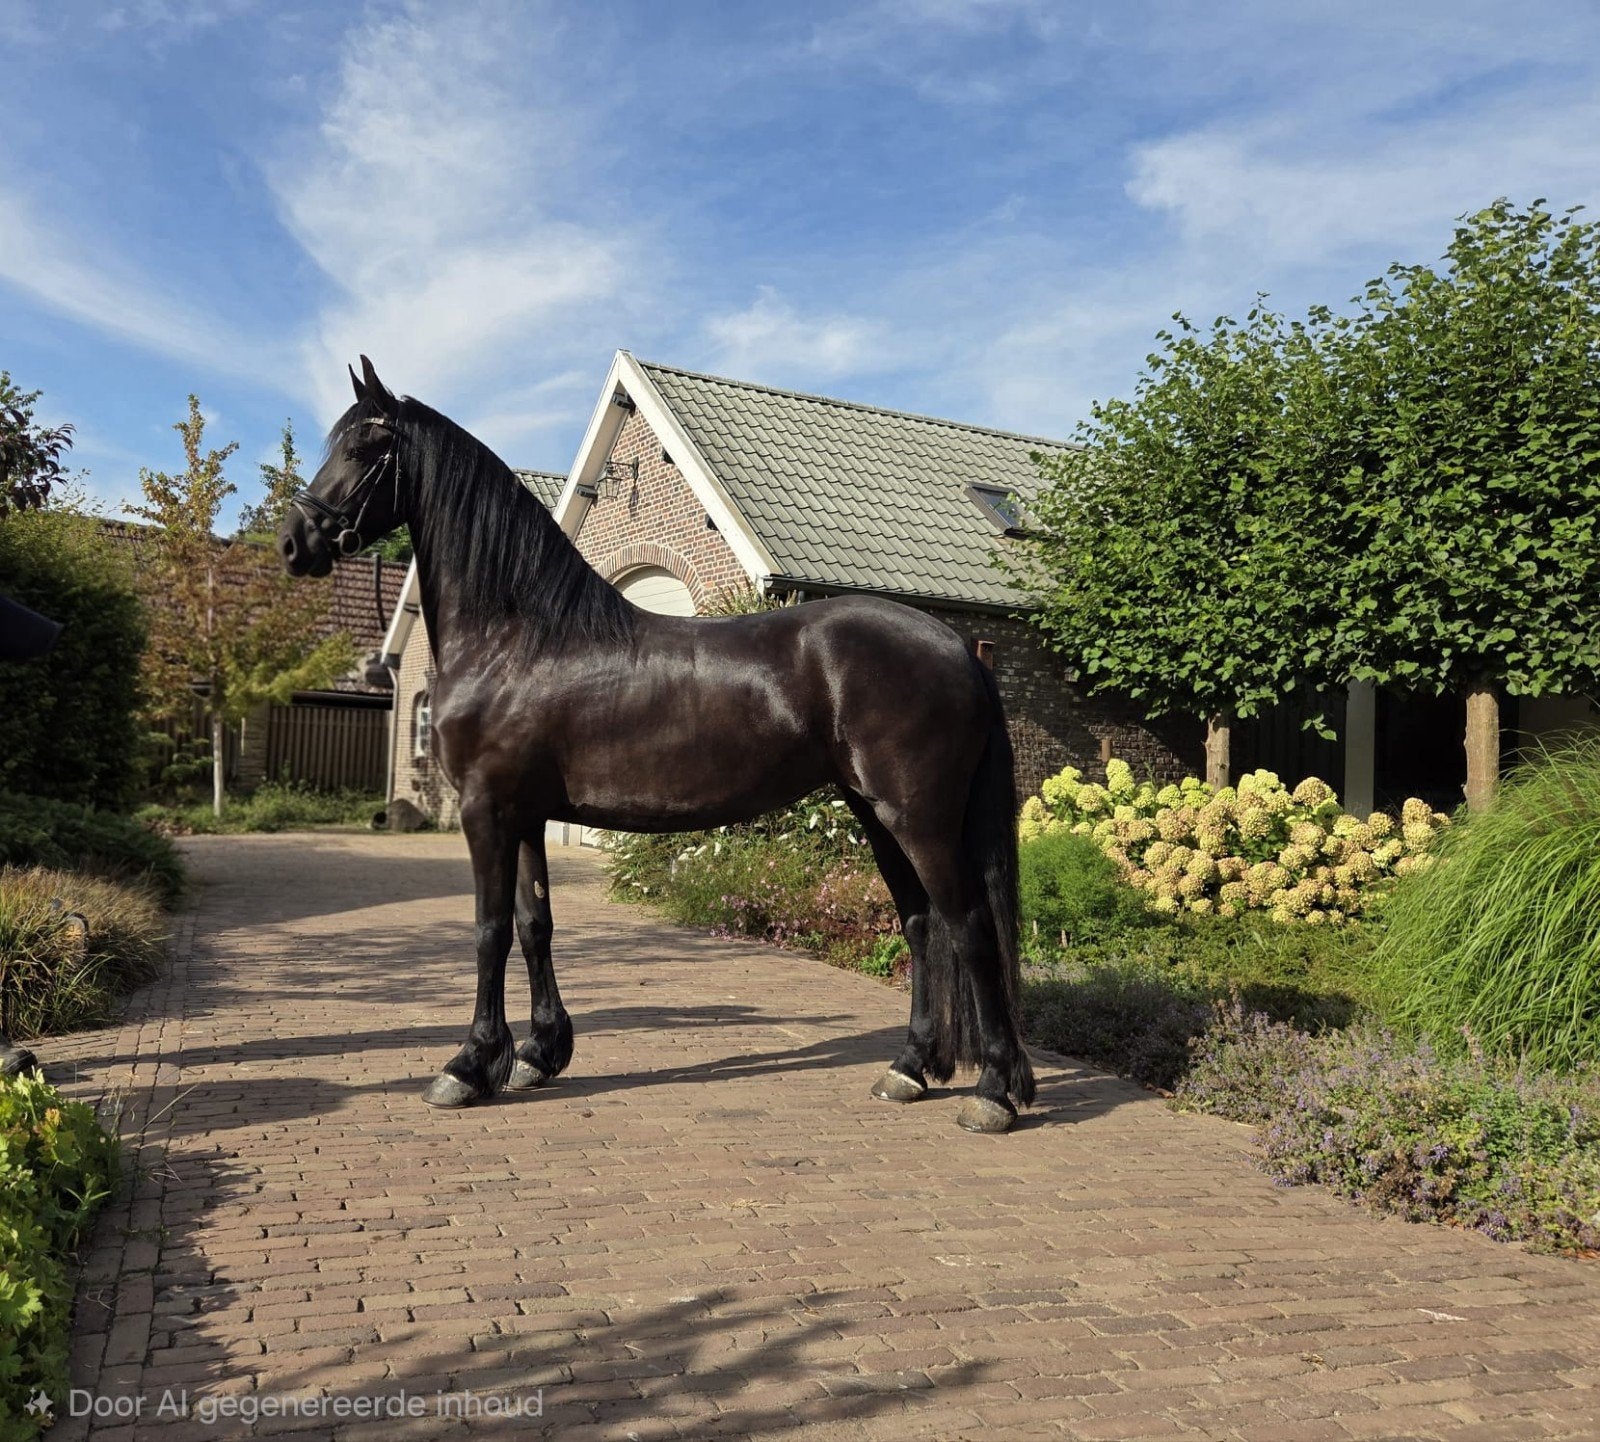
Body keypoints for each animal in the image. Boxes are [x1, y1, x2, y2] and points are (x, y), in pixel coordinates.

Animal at [279, 357, 1035, 1133]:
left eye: (364, 449)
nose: (294, 543)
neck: (515, 639)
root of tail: (956, 646)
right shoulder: (524, 814)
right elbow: (534, 923)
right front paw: (538, 1055)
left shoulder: (485, 810)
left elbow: (489, 929)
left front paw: (467, 1066)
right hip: (875, 813)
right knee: (922, 924)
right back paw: (910, 1068)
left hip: (919, 818)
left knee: (969, 926)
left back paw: (993, 1092)